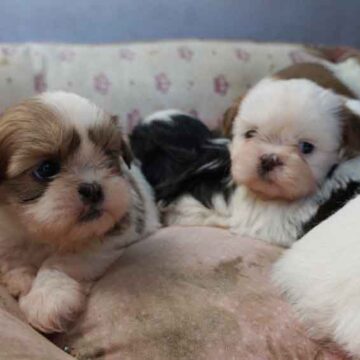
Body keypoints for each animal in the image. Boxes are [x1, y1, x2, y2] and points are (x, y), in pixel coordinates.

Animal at [0, 91, 159, 334]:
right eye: (46, 169)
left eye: (109, 156)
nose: (92, 189)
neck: (42, 233)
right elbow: (12, 258)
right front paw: (21, 278)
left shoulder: (117, 235)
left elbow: (60, 260)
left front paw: (47, 297)